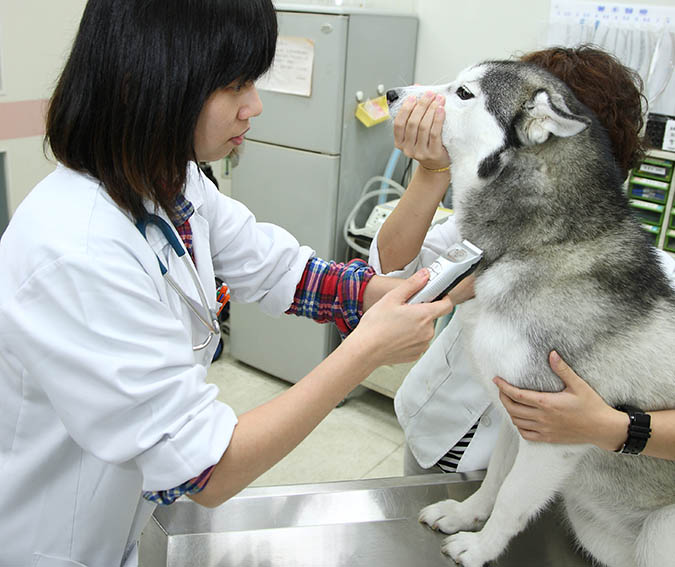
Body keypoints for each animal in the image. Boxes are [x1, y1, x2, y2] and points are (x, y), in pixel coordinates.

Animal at [386, 62, 675, 567]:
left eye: (463, 93)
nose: (391, 94)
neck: (539, 243)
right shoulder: (512, 412)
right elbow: (494, 480)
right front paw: (464, 516)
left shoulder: (555, 436)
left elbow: (512, 498)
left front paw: (480, 547)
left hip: (661, 527)